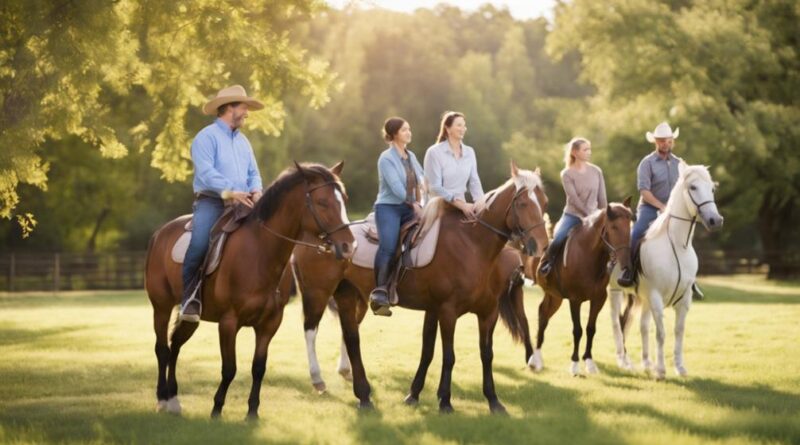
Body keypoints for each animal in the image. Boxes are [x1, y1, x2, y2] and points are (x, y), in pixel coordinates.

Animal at [145, 161, 356, 418]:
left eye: (343, 199)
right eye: (322, 202)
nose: (349, 246)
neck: (260, 253)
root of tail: (159, 234)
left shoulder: (269, 324)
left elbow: (258, 368)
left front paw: (252, 412)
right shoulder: (228, 322)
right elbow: (229, 368)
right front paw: (216, 410)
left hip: (190, 316)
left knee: (175, 345)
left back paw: (174, 400)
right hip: (161, 307)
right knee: (162, 349)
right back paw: (162, 399)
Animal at [292, 164, 552, 412]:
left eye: (544, 202)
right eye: (522, 203)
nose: (542, 246)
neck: (473, 246)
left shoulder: (486, 312)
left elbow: (478, 354)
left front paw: (493, 401)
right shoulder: (447, 311)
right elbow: (448, 356)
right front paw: (445, 401)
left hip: (350, 296)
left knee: (351, 338)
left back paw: (363, 395)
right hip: (318, 293)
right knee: (310, 331)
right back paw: (319, 380)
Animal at [532, 198, 632, 374]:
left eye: (629, 226)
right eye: (614, 227)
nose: (625, 262)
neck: (589, 256)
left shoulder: (599, 299)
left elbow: (591, 329)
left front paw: (589, 362)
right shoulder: (575, 300)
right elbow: (577, 330)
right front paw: (574, 364)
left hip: (555, 297)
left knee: (544, 313)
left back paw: (537, 358)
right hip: (554, 295)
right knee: (543, 317)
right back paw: (535, 359)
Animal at [608, 161, 720, 380]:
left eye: (711, 188)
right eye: (693, 187)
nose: (716, 220)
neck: (676, 246)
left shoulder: (684, 300)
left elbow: (678, 331)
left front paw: (680, 367)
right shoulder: (656, 297)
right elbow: (660, 334)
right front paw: (661, 371)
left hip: (640, 298)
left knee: (640, 326)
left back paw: (646, 363)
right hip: (615, 291)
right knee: (618, 323)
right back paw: (624, 361)